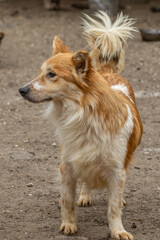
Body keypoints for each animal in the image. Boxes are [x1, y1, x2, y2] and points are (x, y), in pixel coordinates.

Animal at [18, 11, 142, 240]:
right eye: (41, 72)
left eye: (52, 74)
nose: (21, 90)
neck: (83, 115)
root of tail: (108, 72)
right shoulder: (67, 165)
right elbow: (67, 200)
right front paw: (69, 225)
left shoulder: (116, 170)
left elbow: (113, 207)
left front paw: (118, 230)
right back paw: (84, 195)